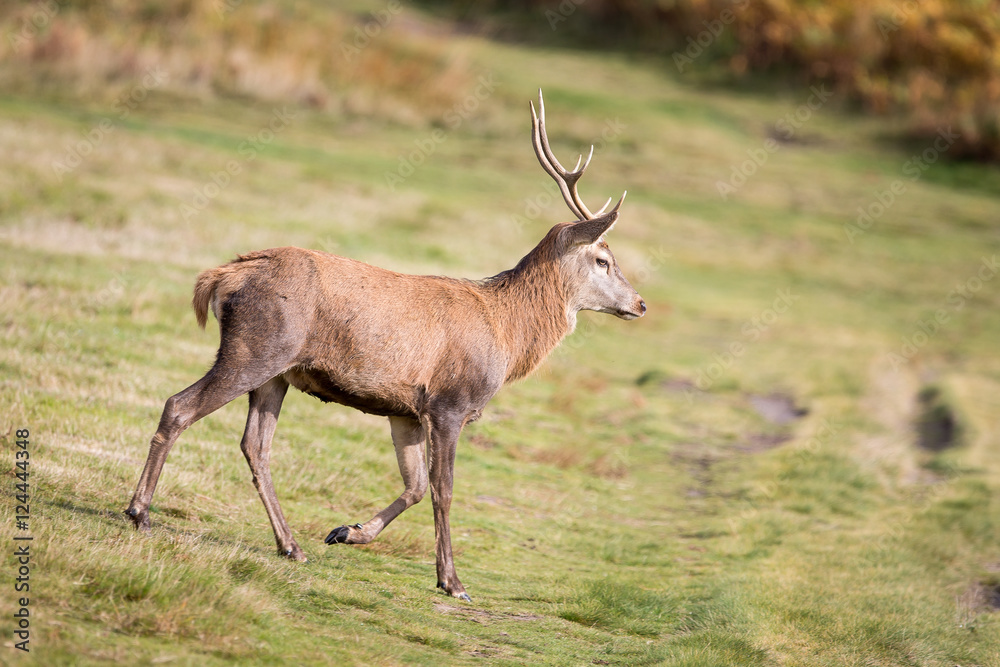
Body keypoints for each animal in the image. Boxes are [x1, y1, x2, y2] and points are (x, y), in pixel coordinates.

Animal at [125, 90, 645, 601]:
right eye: (603, 260)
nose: (641, 303)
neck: (507, 332)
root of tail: (223, 275)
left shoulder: (405, 409)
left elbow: (414, 486)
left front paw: (346, 532)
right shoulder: (449, 402)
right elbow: (443, 490)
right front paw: (452, 581)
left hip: (276, 373)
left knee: (255, 445)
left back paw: (291, 545)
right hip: (255, 347)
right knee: (180, 406)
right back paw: (139, 513)